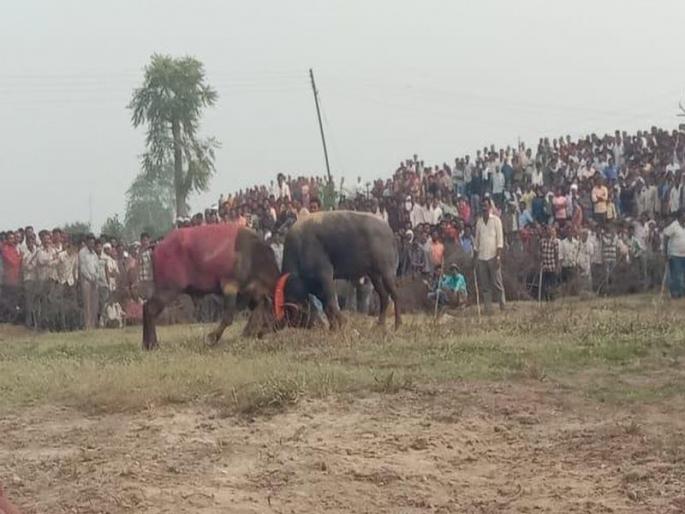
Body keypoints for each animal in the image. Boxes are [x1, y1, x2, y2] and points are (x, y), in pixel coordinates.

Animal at [142, 223, 279, 350]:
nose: (276, 326)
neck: (252, 254)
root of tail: (158, 245)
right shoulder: (230, 286)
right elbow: (228, 317)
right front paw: (212, 338)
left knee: (145, 307)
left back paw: (146, 344)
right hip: (167, 291)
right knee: (150, 309)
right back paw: (152, 344)